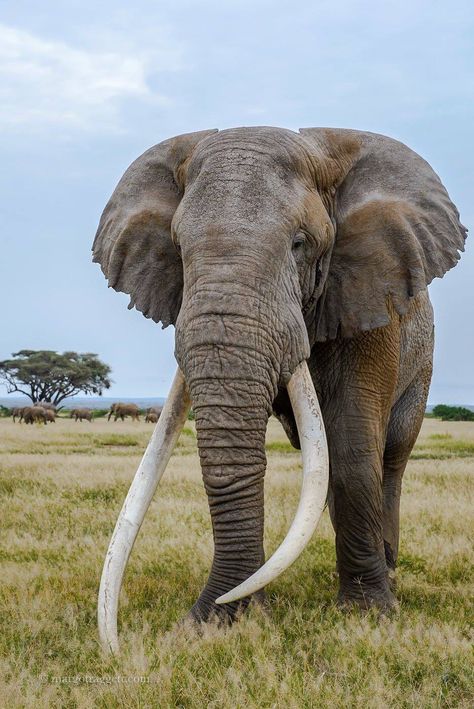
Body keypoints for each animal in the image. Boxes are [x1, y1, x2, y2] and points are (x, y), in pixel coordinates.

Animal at [90, 124, 464, 648]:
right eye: (178, 250)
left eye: (299, 245)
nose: (209, 614)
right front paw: (226, 620)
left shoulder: (371, 295)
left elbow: (351, 445)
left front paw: (369, 615)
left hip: (421, 364)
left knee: (389, 459)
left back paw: (388, 572)